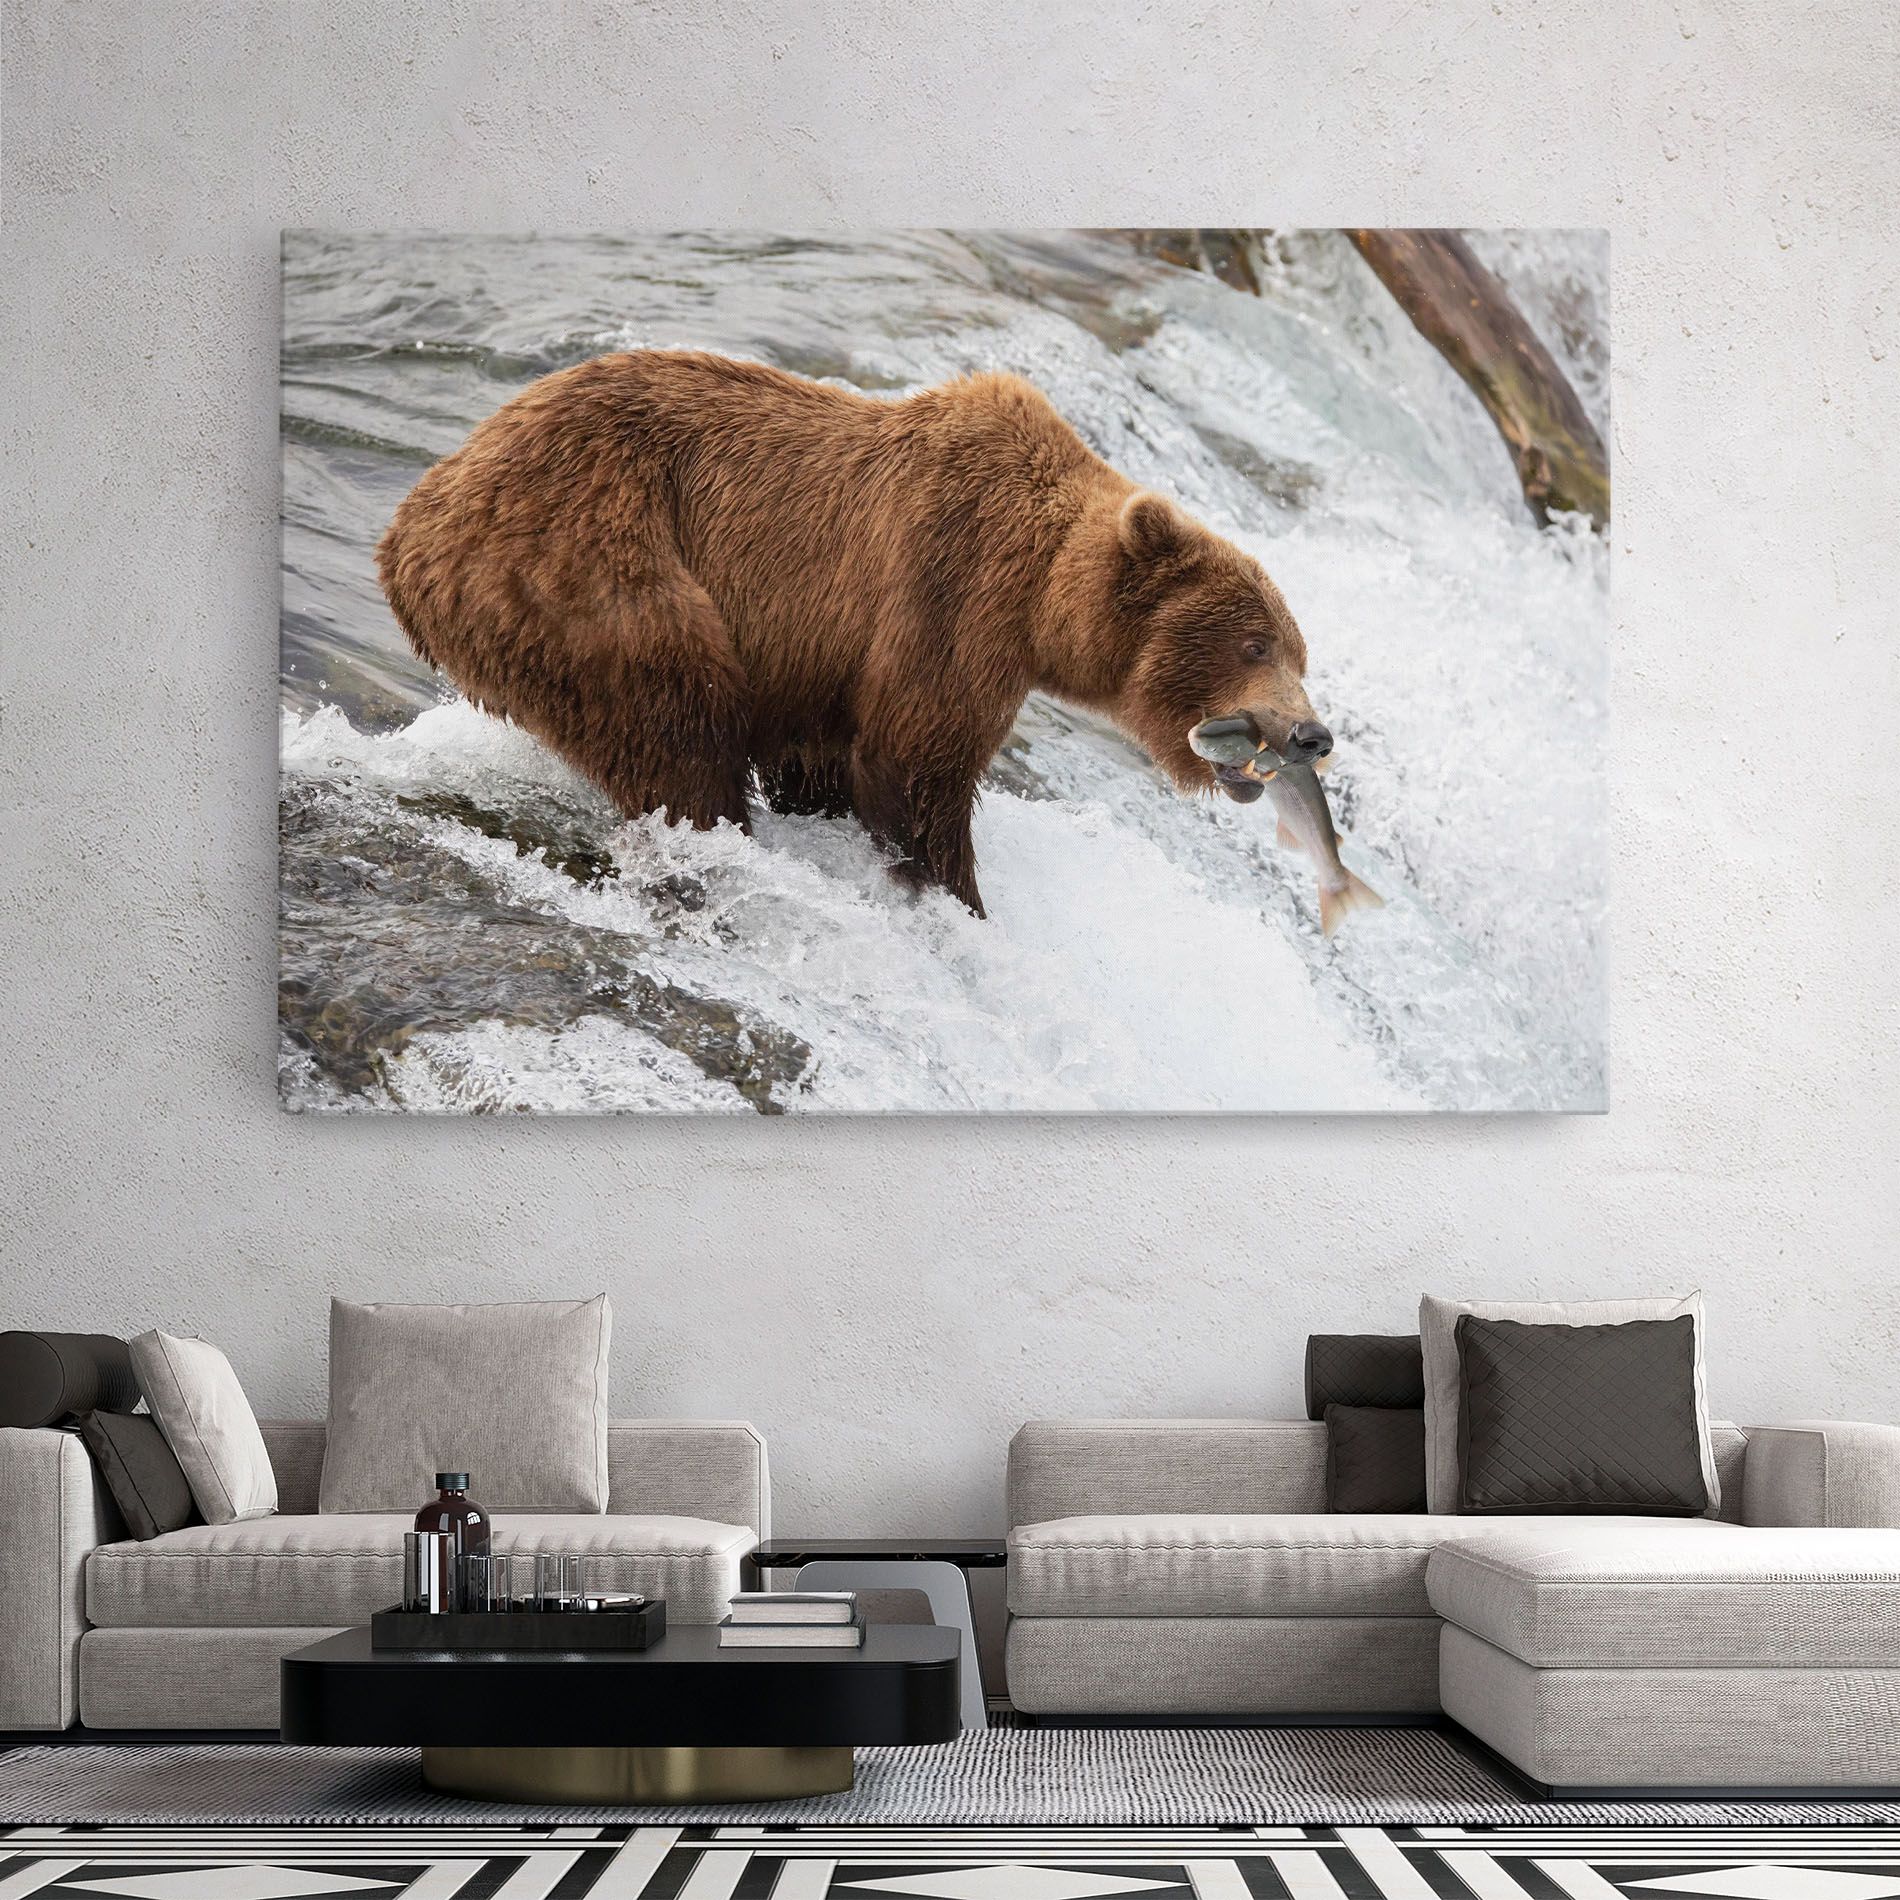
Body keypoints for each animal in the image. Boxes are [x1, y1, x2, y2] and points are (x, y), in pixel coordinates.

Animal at [376, 350, 1332, 918]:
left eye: (1299, 652)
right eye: (1255, 644)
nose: (1311, 735)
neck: (1042, 598)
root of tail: (412, 522)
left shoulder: (822, 665)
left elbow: (826, 760)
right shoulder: (950, 590)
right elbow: (916, 764)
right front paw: (956, 897)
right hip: (589, 562)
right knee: (676, 722)